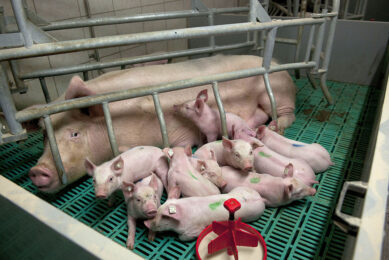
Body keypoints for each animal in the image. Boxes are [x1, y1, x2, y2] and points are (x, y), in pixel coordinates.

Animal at [28, 54, 294, 193]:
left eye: (74, 134)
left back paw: (274, 127)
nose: (37, 171)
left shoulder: (177, 130)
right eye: (44, 136)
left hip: (278, 94)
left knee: (286, 113)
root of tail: (278, 64)